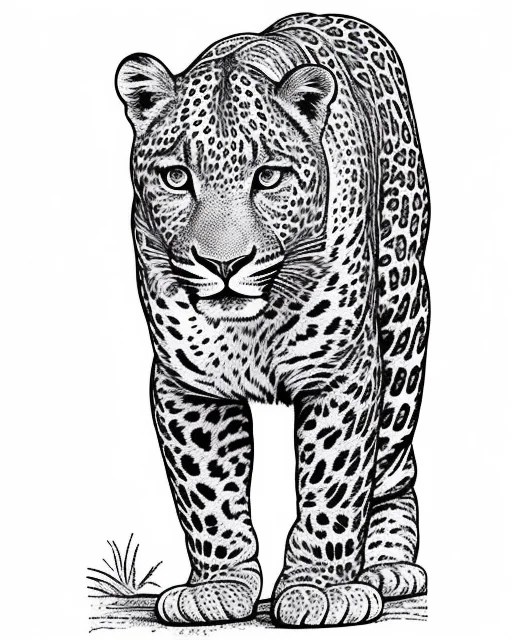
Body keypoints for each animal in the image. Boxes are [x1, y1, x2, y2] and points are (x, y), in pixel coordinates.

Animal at [115, 12, 430, 628]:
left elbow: (334, 486)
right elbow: (209, 492)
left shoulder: (342, 373)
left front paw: (321, 589)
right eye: (177, 177)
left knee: (393, 460)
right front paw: (218, 587)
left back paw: (387, 566)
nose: (224, 263)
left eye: (269, 177)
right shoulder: (191, 383)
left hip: (405, 313)